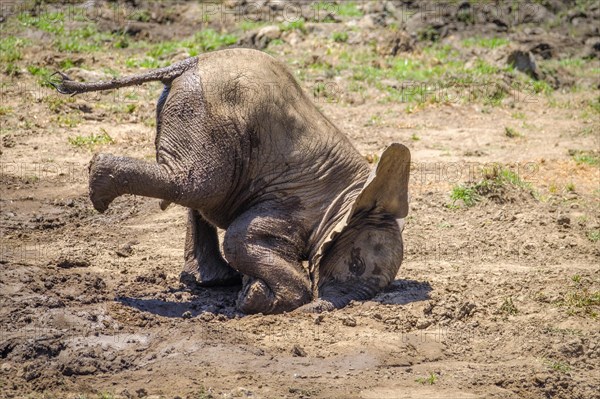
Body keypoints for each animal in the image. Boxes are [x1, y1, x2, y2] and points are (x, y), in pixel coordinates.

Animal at [54, 47, 410, 316]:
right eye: (356, 264)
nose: (316, 311)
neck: (353, 194)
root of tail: (189, 62)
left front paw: (248, 291)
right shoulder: (296, 205)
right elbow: (240, 239)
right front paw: (258, 300)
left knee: (198, 192)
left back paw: (212, 281)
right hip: (207, 114)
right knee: (193, 184)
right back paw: (99, 192)